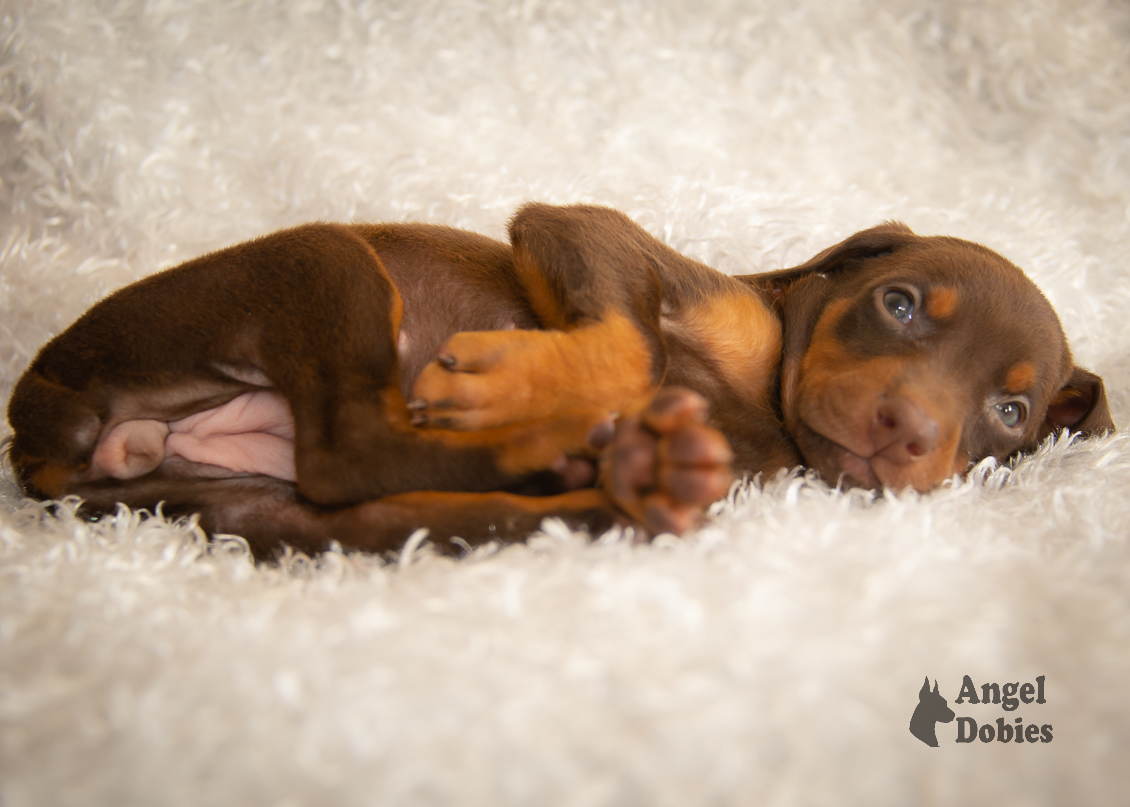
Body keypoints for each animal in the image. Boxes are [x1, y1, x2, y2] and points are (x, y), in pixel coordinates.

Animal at [2, 201, 1111, 556]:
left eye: (1009, 410)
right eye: (899, 304)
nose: (903, 432)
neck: (767, 417)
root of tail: (44, 436)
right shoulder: (582, 229)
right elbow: (628, 341)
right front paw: (515, 378)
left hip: (281, 518)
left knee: (372, 484)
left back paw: (616, 475)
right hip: (324, 261)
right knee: (347, 444)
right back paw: (560, 443)